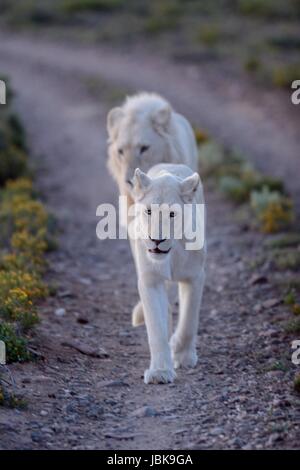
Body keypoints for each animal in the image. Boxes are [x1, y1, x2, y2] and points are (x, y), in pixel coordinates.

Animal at [129, 163, 206, 384]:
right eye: (148, 211)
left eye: (172, 214)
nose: (156, 240)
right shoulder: (150, 281)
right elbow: (156, 328)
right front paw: (160, 372)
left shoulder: (195, 277)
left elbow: (189, 320)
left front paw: (183, 355)